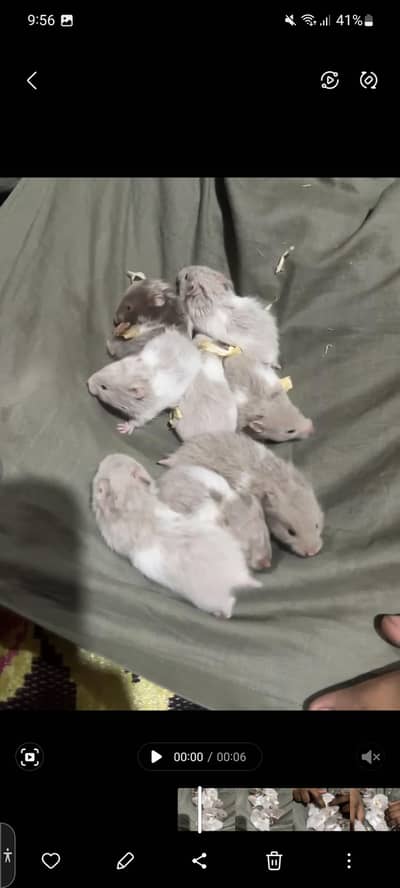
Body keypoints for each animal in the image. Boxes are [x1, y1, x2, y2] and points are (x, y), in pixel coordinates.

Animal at [92, 453, 261, 618]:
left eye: (101, 469)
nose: (108, 456)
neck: (132, 497)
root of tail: (240, 577)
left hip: (211, 600)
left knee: (228, 606)